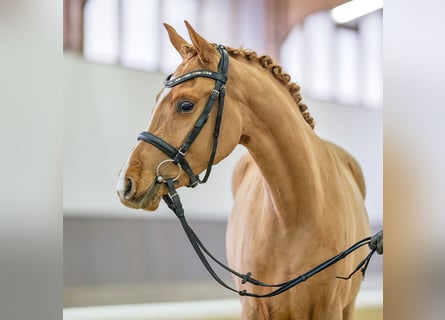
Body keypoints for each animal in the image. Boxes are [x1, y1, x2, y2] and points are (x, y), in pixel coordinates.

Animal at [116, 21, 370, 318]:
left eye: (185, 104)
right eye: (157, 98)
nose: (125, 183)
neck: (296, 212)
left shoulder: (329, 309)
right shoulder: (252, 307)